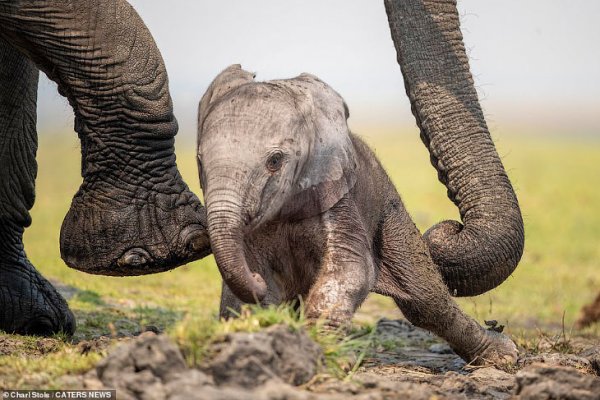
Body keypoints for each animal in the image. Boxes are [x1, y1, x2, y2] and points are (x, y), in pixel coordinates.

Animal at [197, 65, 516, 366]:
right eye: (199, 160)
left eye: (275, 161)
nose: (255, 282)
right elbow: (254, 274)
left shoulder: (338, 195)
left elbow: (352, 268)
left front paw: (322, 347)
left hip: (390, 213)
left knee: (426, 300)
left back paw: (504, 356)